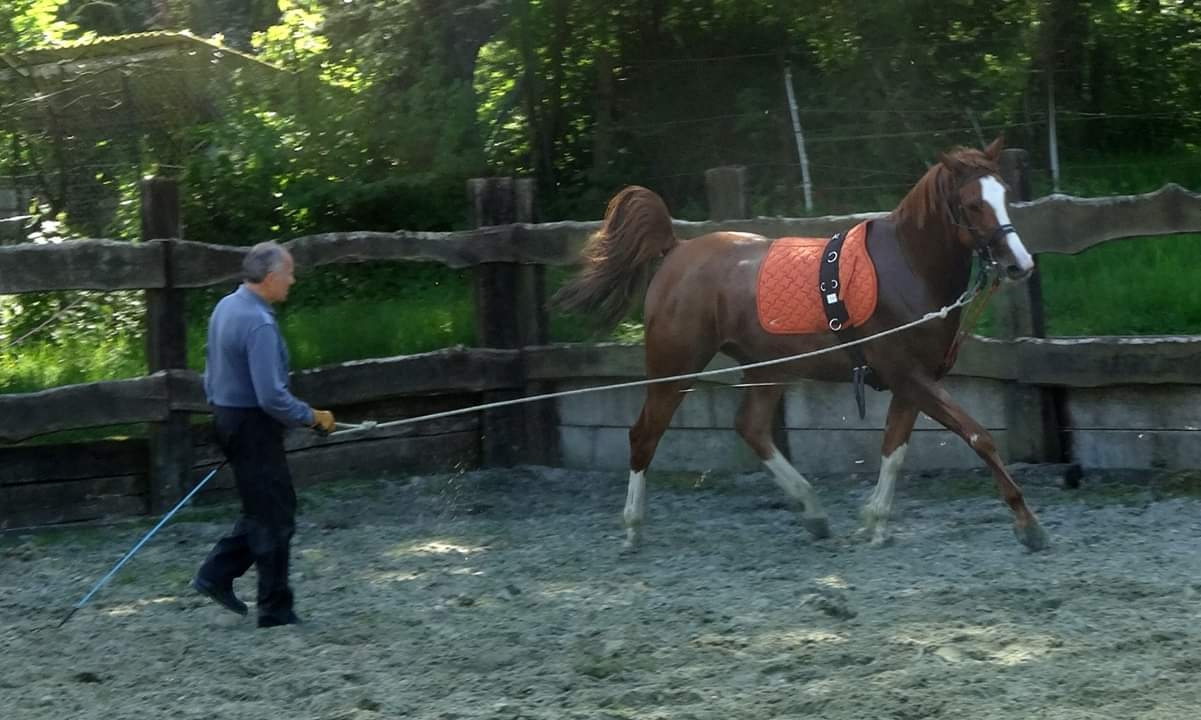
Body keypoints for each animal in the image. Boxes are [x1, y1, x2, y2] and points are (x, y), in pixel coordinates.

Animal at [553, 137, 1049, 553]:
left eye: (1004, 195)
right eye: (972, 204)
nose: (1020, 264)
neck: (907, 267)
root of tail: (676, 251)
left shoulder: (912, 383)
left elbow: (894, 451)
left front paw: (873, 522)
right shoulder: (910, 377)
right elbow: (978, 436)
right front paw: (1028, 526)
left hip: (767, 368)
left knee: (750, 429)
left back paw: (814, 512)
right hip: (675, 367)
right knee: (644, 435)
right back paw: (633, 529)